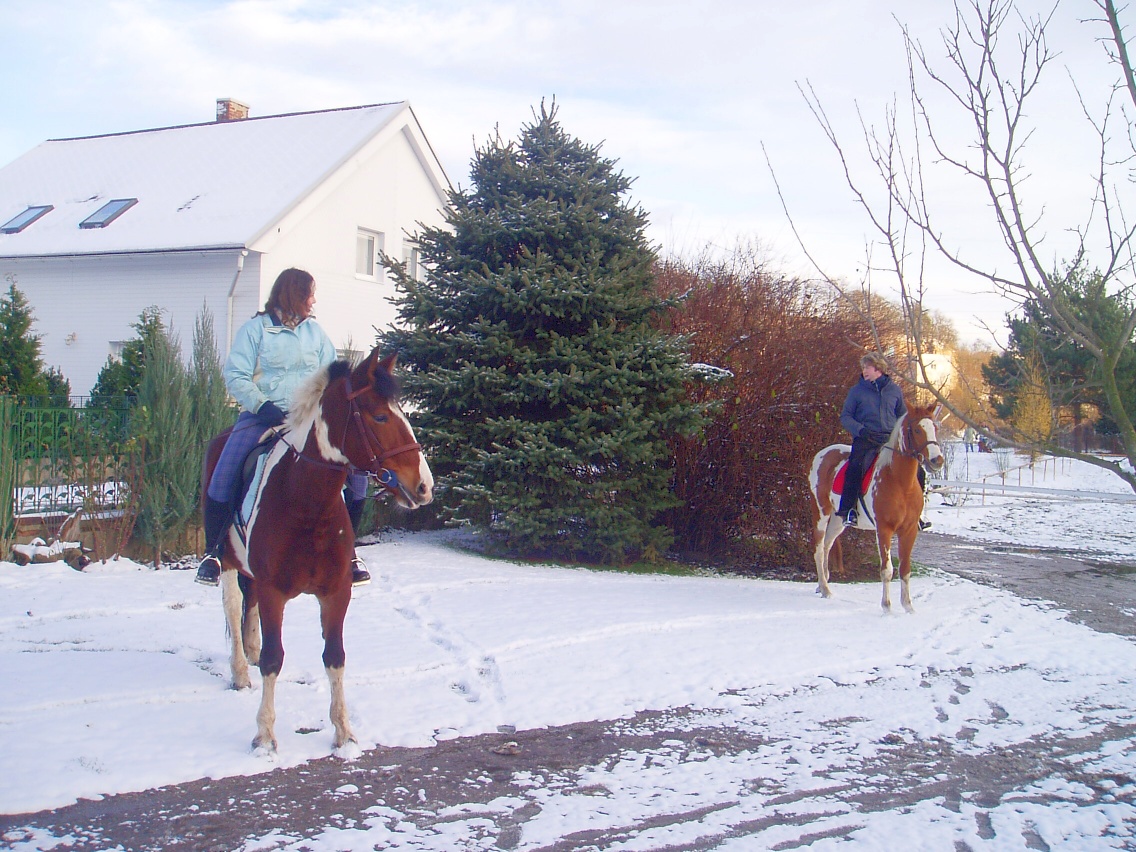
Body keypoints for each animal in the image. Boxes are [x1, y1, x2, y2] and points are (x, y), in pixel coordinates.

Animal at [202, 347, 431, 754]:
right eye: (380, 415)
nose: (424, 486)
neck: (307, 503)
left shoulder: (336, 593)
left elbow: (335, 657)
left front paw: (344, 733)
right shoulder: (274, 592)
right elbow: (274, 659)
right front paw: (265, 736)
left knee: (249, 605)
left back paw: (251, 651)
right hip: (227, 560)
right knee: (232, 606)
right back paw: (240, 672)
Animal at [813, 404, 945, 613]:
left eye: (935, 428)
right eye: (917, 430)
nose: (936, 461)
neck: (900, 482)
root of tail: (823, 453)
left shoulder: (909, 531)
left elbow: (905, 569)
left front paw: (908, 607)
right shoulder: (884, 529)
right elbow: (887, 569)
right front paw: (887, 607)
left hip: (838, 520)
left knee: (827, 545)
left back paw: (823, 584)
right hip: (821, 513)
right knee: (818, 549)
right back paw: (825, 588)